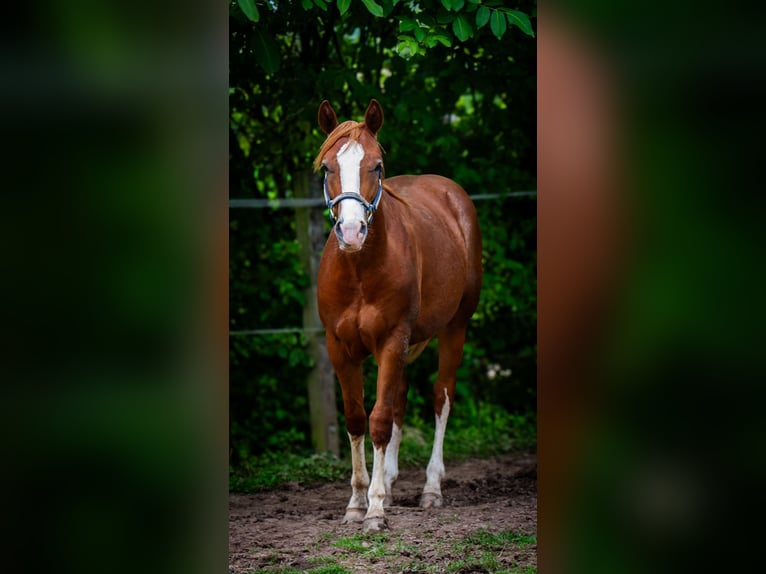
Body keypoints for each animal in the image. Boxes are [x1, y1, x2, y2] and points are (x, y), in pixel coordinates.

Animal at [314, 100, 484, 536]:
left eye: (376, 166)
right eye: (327, 168)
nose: (351, 231)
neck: (359, 269)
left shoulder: (392, 339)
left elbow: (378, 419)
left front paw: (374, 509)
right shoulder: (339, 347)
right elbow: (358, 418)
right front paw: (358, 501)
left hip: (455, 327)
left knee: (441, 397)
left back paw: (430, 489)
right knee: (400, 402)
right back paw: (389, 482)